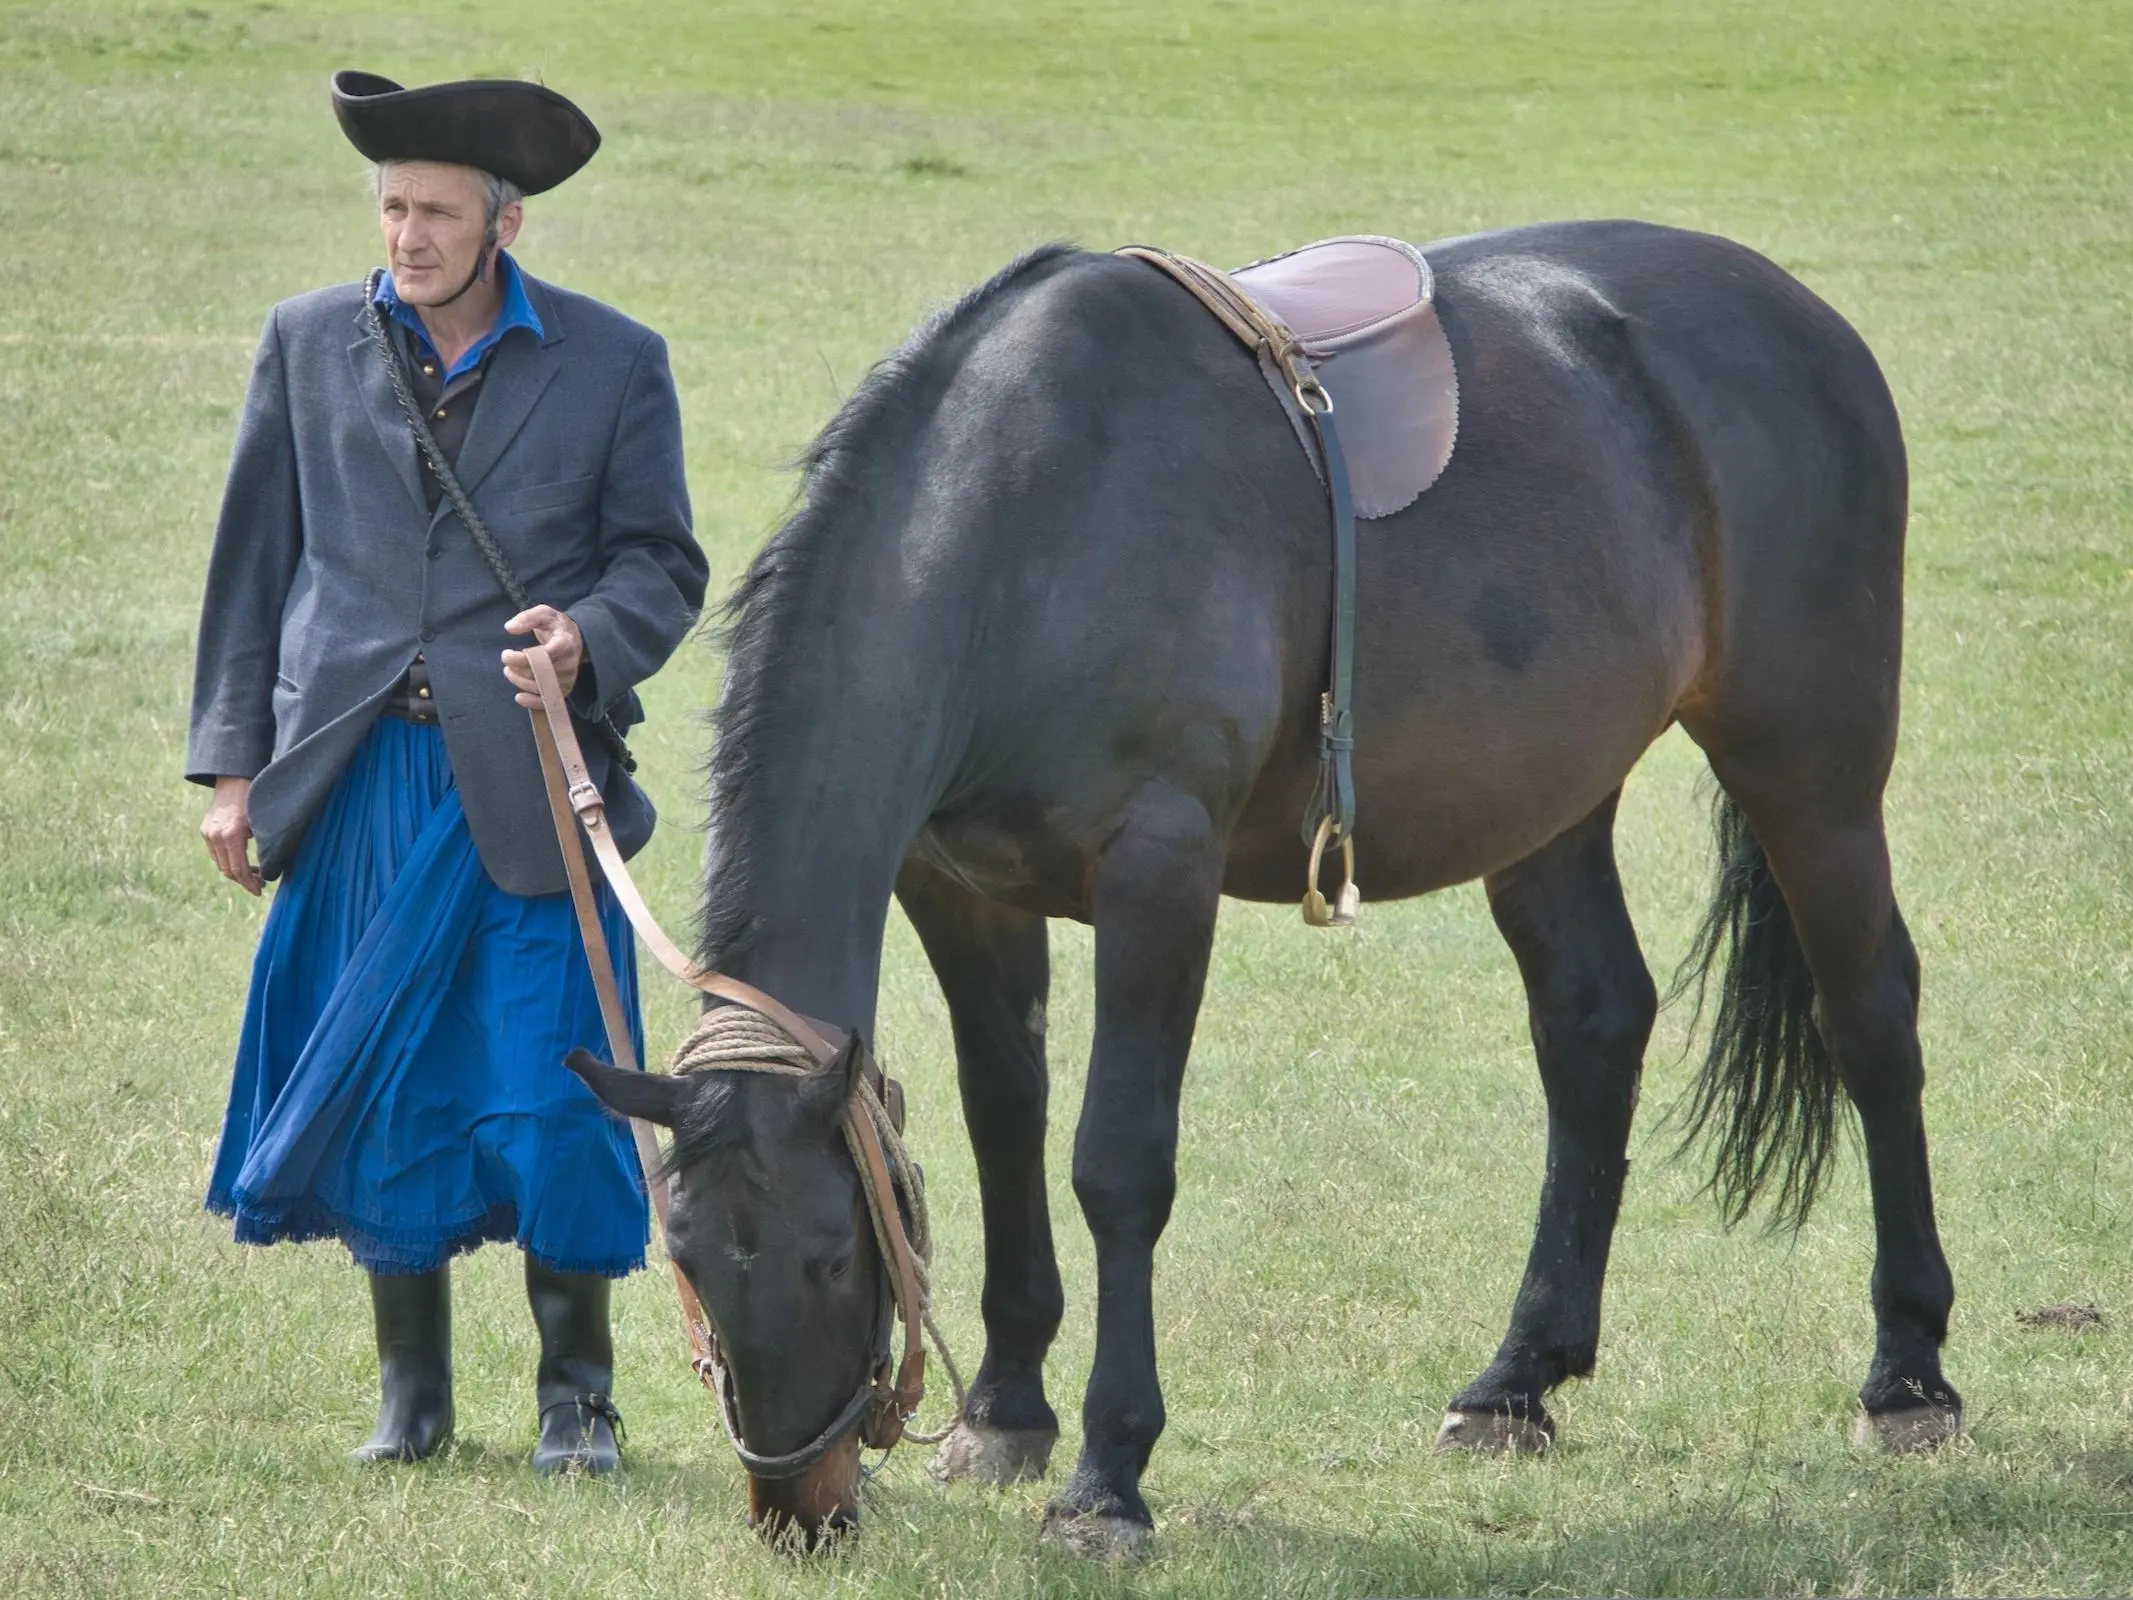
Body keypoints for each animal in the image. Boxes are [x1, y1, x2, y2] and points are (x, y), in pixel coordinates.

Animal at [571, 222, 1962, 1553]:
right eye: (687, 1261)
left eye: (825, 1257)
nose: (796, 1509)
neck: (1025, 529)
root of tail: (1801, 319)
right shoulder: (960, 887)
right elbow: (1004, 1118)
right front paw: (1005, 1407)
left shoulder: (1159, 876)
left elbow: (1115, 1162)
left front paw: (1107, 1477)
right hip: (1547, 797)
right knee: (1592, 1029)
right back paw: (1518, 1376)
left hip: (1811, 768)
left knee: (1870, 1018)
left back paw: (1908, 1372)